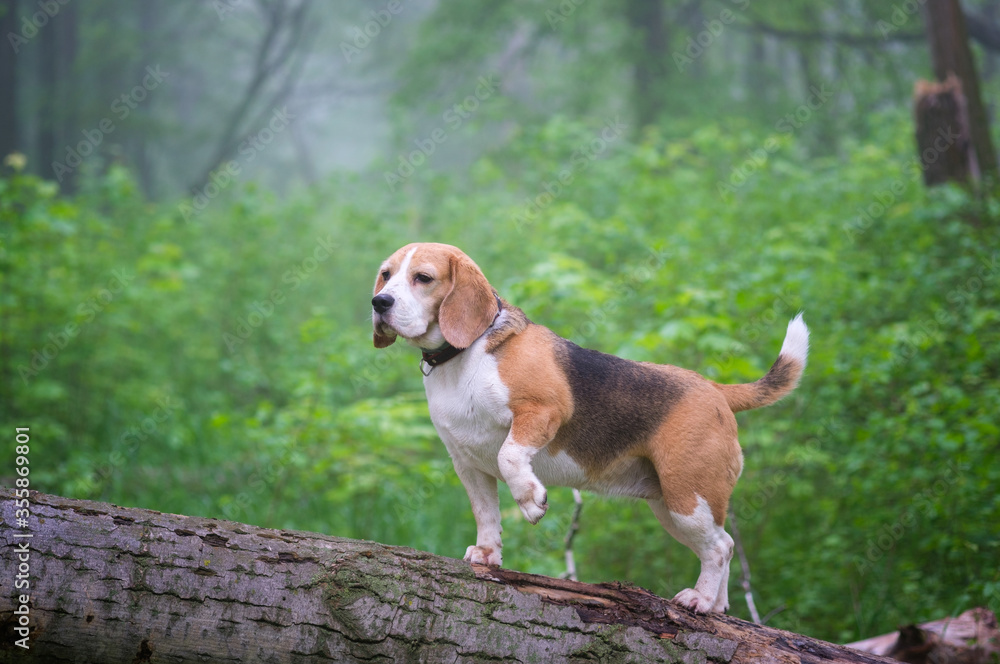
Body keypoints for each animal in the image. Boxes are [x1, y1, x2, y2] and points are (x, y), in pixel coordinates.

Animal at [372, 243, 808, 612]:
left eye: (423, 277)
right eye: (386, 274)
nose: (380, 302)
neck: (465, 355)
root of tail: (715, 389)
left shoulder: (543, 410)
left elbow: (511, 455)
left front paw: (531, 500)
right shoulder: (468, 463)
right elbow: (486, 514)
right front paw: (487, 555)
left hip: (688, 497)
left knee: (719, 548)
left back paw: (699, 600)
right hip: (672, 505)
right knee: (725, 543)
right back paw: (716, 605)